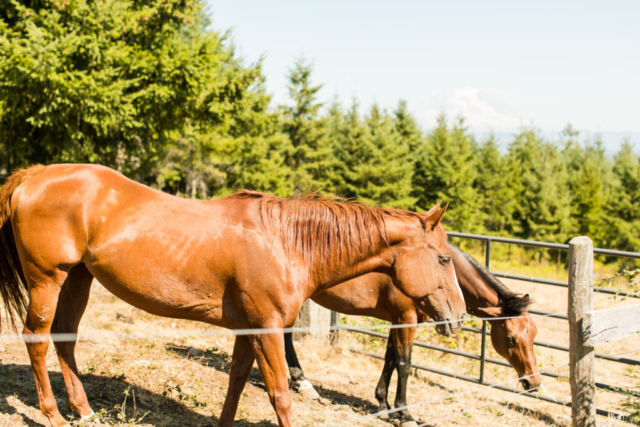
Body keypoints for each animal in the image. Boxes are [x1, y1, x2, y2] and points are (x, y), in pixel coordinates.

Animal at [0, 165, 468, 427]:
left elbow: (237, 383)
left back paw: (83, 410)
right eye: (444, 258)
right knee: (37, 340)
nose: (459, 317)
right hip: (47, 280)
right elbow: (280, 393)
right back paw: (54, 416)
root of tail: (34, 177)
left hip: (78, 278)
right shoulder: (267, 328)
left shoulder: (249, 329)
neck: (286, 242)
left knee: (65, 339)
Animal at [284, 242, 540, 426]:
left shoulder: (397, 322)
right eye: (510, 339)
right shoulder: (406, 320)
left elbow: (389, 359)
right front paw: (405, 414)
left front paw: (383, 405)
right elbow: (404, 365)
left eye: (534, 335)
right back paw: (303, 382)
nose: (533, 382)